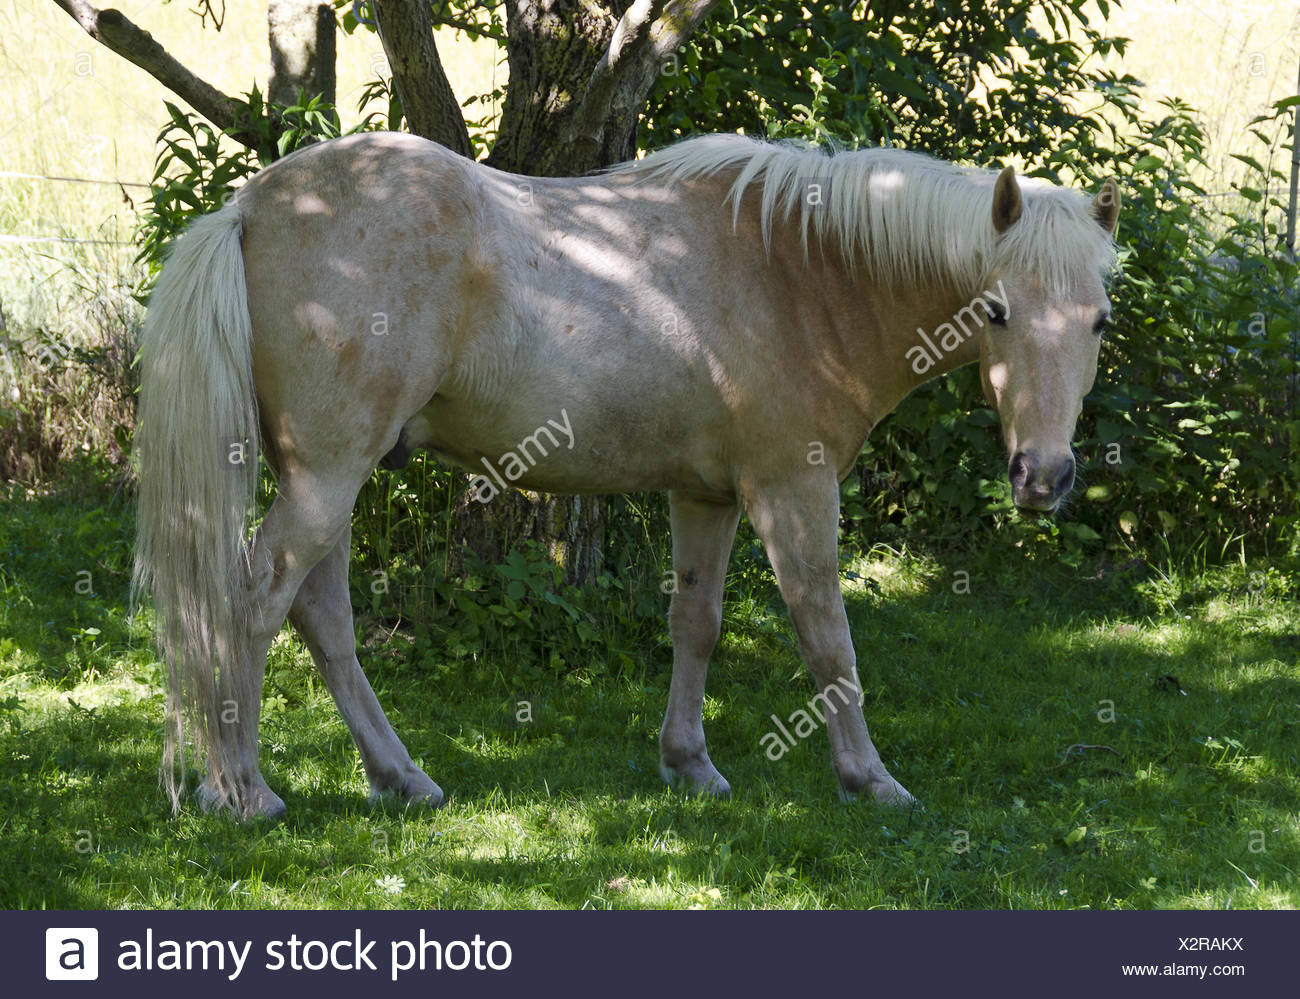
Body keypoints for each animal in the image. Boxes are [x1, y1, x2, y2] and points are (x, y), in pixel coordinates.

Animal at [133, 130, 1120, 820]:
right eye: (997, 310)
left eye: (1100, 320)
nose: (1043, 476)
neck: (803, 271)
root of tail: (252, 210)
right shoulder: (794, 490)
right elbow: (827, 639)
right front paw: (869, 779)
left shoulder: (708, 495)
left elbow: (697, 623)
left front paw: (689, 764)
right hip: (327, 478)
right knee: (254, 604)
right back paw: (244, 790)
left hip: (332, 481)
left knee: (322, 615)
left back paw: (401, 776)